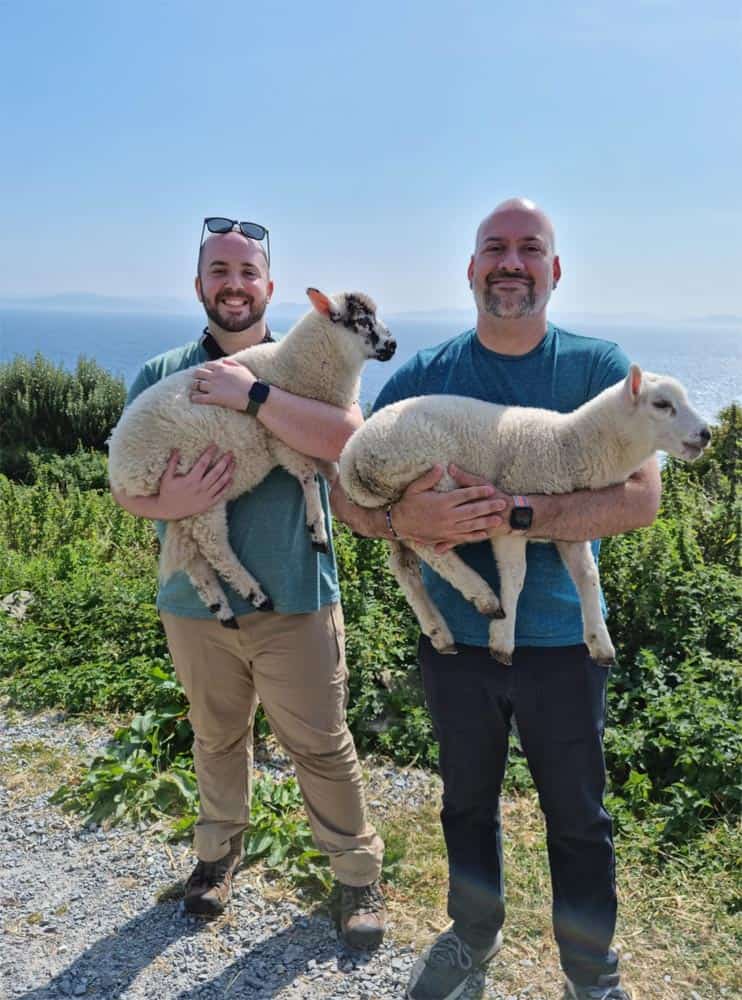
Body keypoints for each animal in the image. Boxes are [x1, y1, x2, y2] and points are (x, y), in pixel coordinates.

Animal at [108, 286, 398, 624]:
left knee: (193, 558)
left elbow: (332, 470)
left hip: (181, 506)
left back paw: (221, 608)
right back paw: (255, 595)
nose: (393, 345)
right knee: (212, 545)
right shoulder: (283, 442)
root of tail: (119, 468)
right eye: (363, 321)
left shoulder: (312, 439)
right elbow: (309, 477)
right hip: (194, 492)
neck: (300, 367)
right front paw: (317, 531)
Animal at [342, 366, 716, 664]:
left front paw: (600, 642)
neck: (570, 445)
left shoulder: (570, 528)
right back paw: (482, 595)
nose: (706, 434)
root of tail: (353, 456)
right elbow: (516, 576)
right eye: (662, 405)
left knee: (403, 564)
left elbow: (588, 575)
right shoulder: (507, 520)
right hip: (430, 479)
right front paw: (503, 638)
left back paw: (439, 631)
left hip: (397, 497)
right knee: (429, 546)